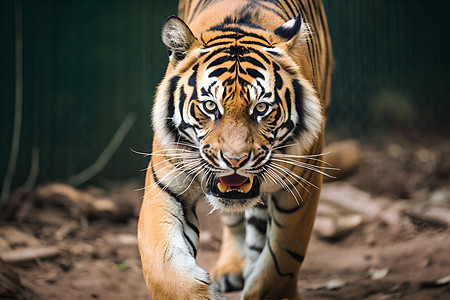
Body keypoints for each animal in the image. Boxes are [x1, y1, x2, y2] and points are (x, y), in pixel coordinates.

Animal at [139, 0, 332, 298]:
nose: (235, 161)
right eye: (210, 106)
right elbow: (161, 267)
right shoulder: (166, 184)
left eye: (261, 108)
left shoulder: (302, 184)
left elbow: (280, 263)